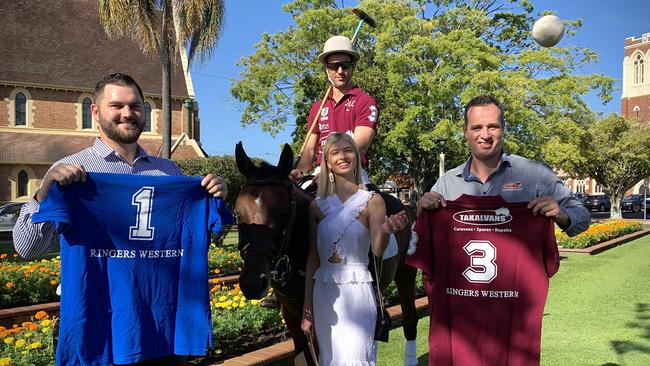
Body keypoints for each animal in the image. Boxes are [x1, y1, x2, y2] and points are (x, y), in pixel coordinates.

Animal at [233, 142, 416, 364]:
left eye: (284, 214)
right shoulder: (291, 313)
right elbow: (302, 356)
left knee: (410, 322)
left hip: (406, 274)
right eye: (238, 214)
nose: (251, 283)